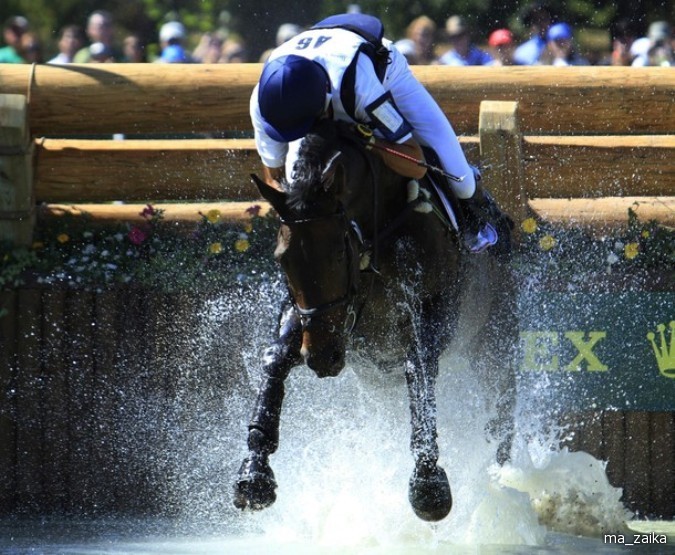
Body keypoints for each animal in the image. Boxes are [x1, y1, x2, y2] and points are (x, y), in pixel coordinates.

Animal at [232, 119, 516, 524]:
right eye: (282, 258)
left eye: (339, 252)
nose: (322, 358)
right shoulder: (318, 317)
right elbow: (277, 356)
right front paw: (255, 471)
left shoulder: (436, 309)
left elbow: (419, 364)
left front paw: (428, 483)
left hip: (493, 344)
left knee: (502, 405)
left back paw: (501, 474)